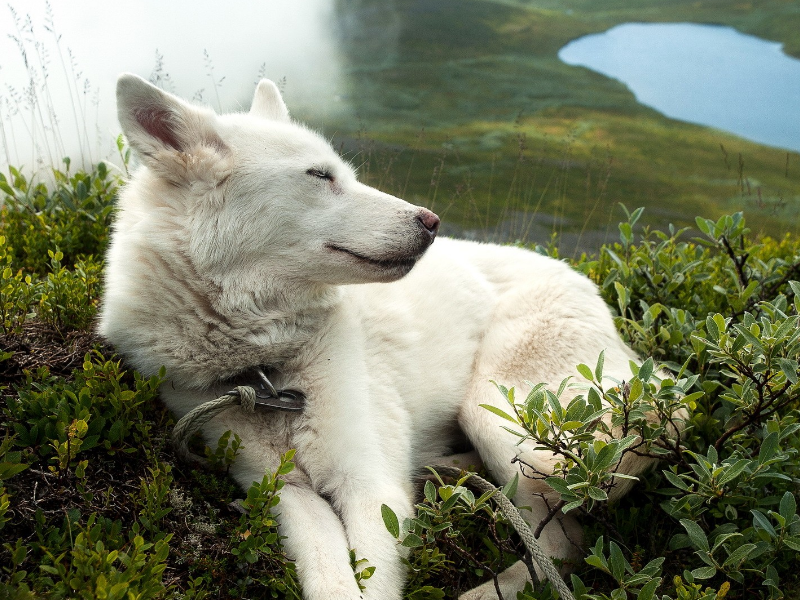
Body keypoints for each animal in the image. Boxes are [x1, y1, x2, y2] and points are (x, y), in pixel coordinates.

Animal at [98, 76, 648, 600]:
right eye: (320, 175)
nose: (431, 221)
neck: (270, 369)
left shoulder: (369, 484)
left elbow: (375, 577)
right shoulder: (283, 491)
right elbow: (329, 578)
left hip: (501, 417)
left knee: (561, 542)